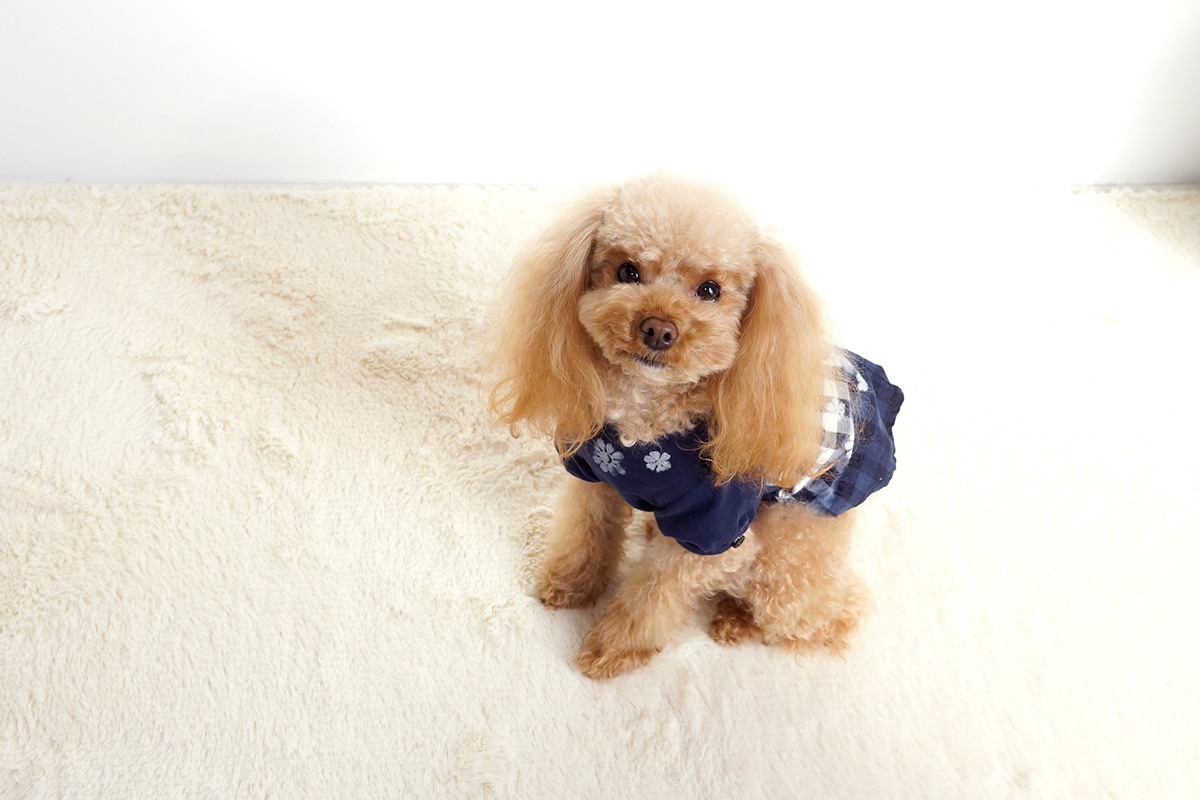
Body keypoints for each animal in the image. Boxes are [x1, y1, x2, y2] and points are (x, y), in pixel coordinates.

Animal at [487, 171, 902, 679]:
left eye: (709, 290)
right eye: (627, 272)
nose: (658, 329)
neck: (645, 418)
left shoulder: (715, 530)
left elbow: (654, 596)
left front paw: (614, 649)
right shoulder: (595, 478)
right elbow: (587, 534)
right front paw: (571, 584)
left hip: (789, 556)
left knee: (825, 619)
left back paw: (739, 620)